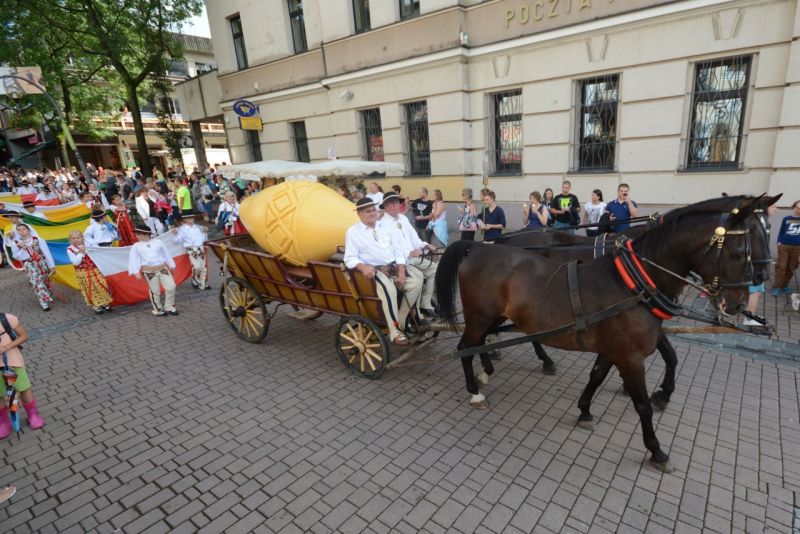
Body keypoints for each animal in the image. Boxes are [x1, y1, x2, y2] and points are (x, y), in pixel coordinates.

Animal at [434, 197, 780, 474]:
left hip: (496, 317)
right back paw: (475, 390)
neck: (634, 282)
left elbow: (599, 375)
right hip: (479, 317)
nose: (737, 303)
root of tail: (479, 246)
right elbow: (642, 404)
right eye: (739, 251)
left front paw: (586, 410)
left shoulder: (614, 349)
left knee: (481, 342)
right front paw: (656, 449)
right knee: (464, 346)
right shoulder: (630, 357)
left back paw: (489, 369)